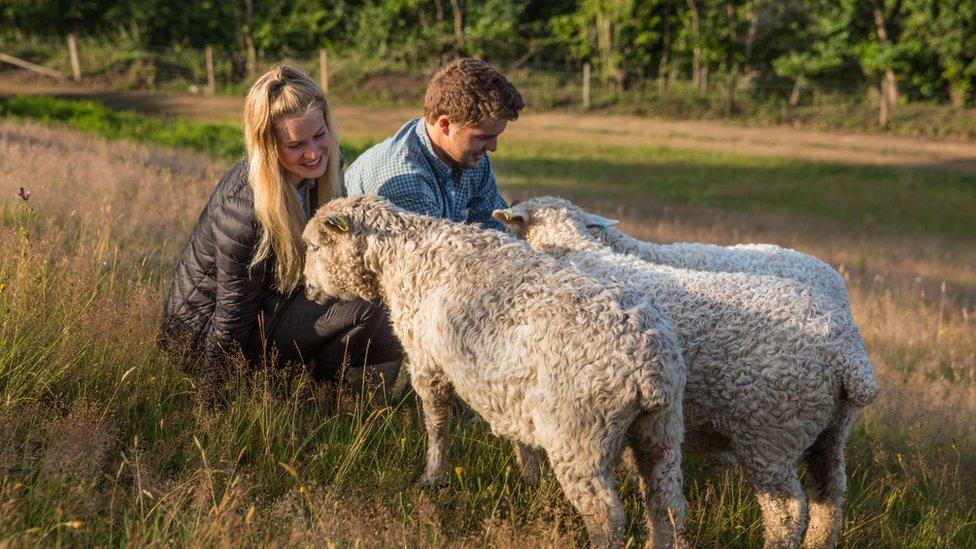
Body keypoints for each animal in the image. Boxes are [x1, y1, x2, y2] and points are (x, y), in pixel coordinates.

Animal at [304, 195, 688, 544]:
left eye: (313, 247)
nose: (306, 290)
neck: (404, 256)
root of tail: (649, 368)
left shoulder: (427, 362)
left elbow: (437, 424)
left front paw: (433, 476)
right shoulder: (510, 389)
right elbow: (519, 440)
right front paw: (530, 477)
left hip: (580, 435)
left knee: (606, 517)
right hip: (660, 430)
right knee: (667, 506)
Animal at [492, 197, 880, 548]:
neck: (580, 251)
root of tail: (848, 355)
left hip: (770, 433)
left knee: (787, 512)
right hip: (830, 429)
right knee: (830, 493)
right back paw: (820, 540)